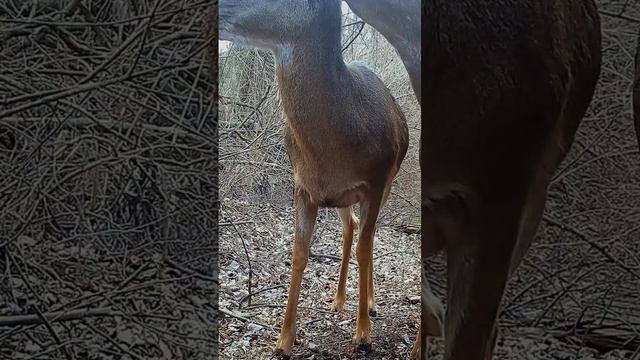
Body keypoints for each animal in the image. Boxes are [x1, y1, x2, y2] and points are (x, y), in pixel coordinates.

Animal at [220, 0, 410, 356]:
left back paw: (371, 303)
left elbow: (365, 248)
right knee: (350, 227)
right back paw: (337, 300)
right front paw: (283, 341)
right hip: (342, 197)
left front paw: (363, 335)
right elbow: (298, 252)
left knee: (369, 234)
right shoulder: (303, 185)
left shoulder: (377, 179)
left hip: (389, 182)